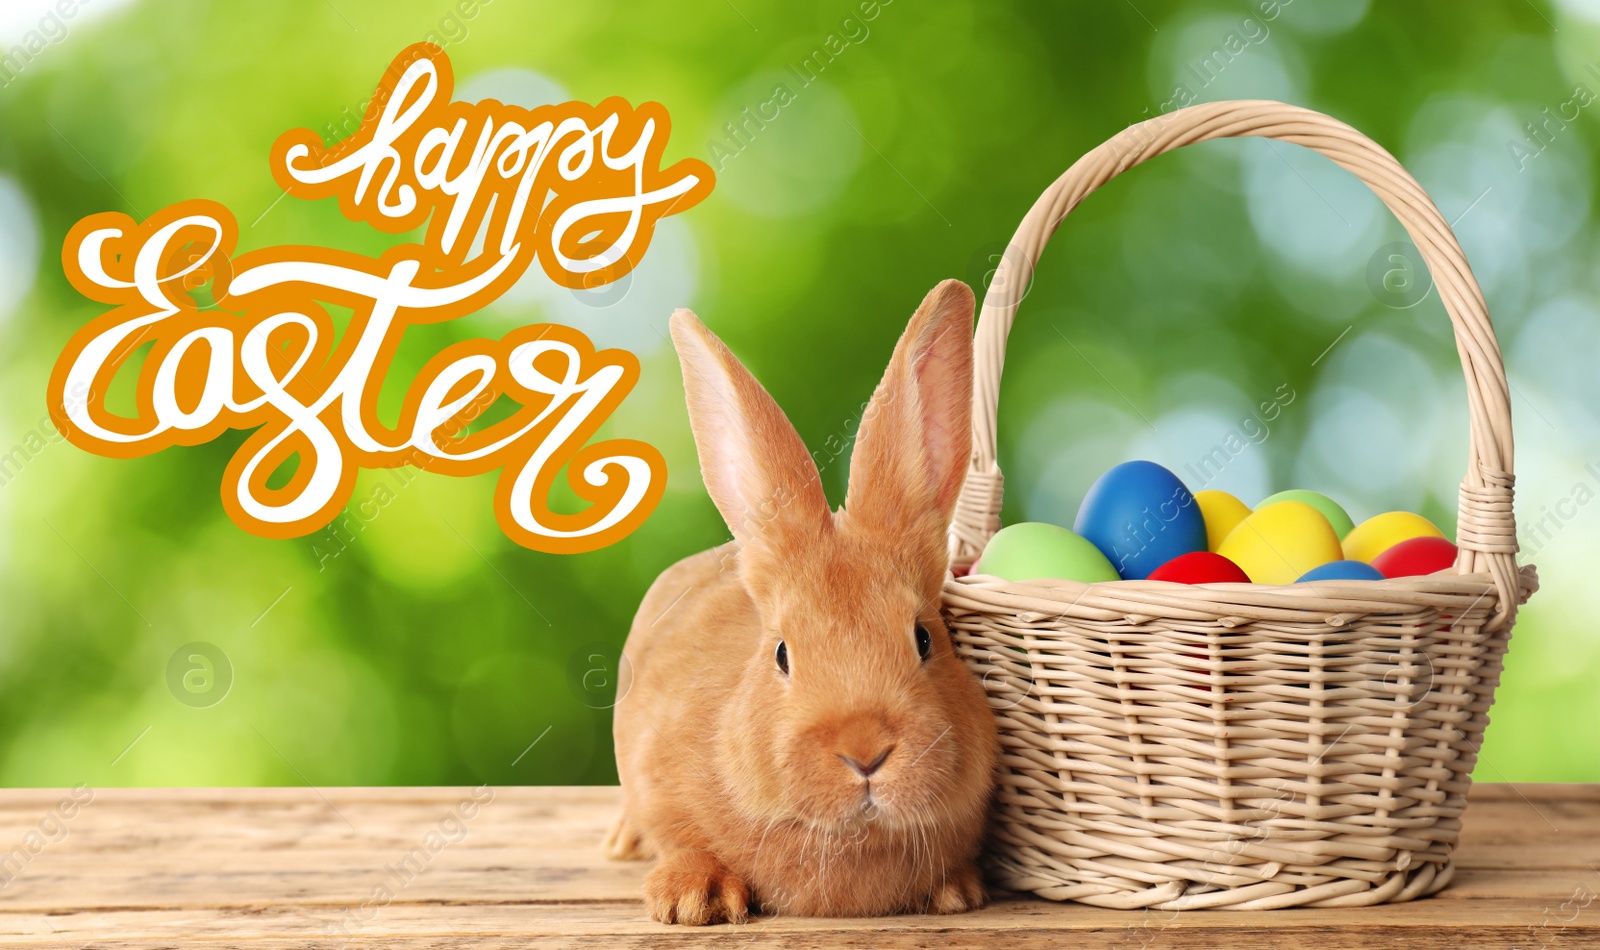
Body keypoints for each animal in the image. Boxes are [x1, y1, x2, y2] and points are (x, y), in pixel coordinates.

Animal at [604, 276, 992, 921]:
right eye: (782, 654)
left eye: (924, 639)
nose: (864, 751)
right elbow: (681, 838)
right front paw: (693, 900)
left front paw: (956, 891)